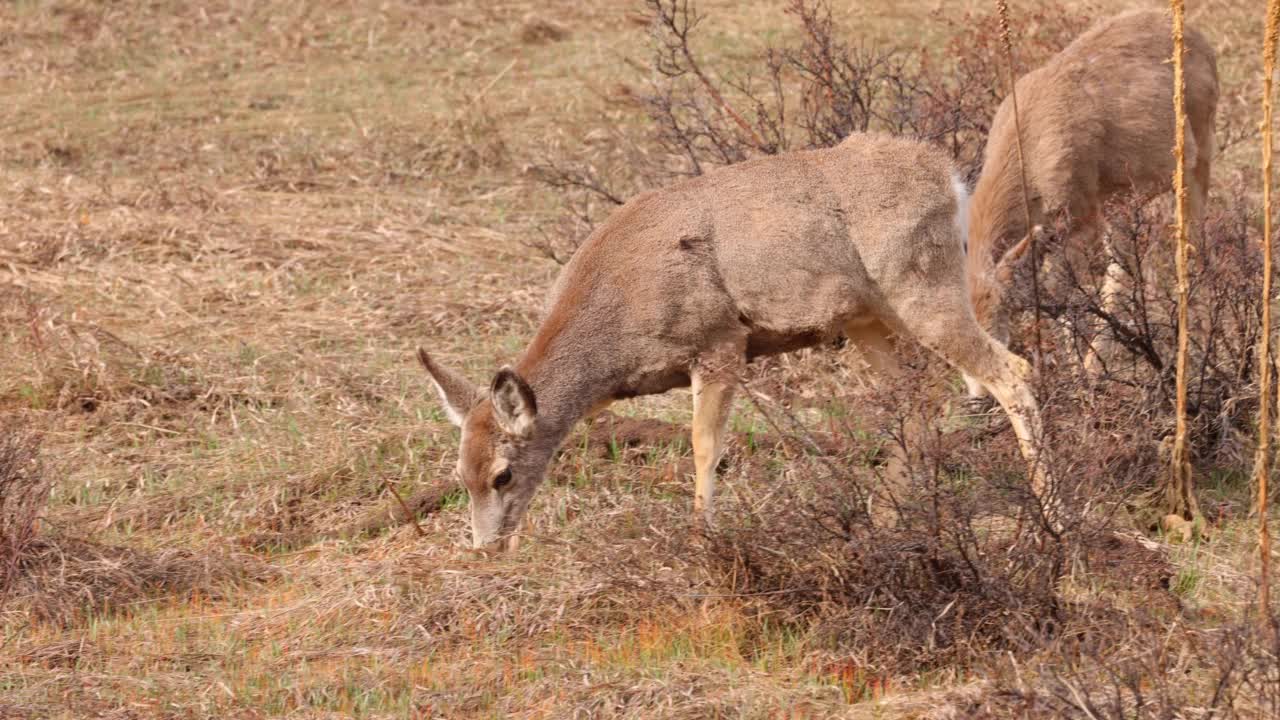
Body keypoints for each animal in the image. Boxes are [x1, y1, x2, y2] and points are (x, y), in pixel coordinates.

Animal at [422, 131, 1059, 545]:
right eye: (461, 477)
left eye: (503, 474)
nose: (487, 548)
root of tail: (949, 178)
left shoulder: (719, 341)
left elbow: (705, 446)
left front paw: (703, 537)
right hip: (867, 318)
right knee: (916, 401)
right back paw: (890, 520)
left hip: (920, 286)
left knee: (1012, 371)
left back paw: (1050, 518)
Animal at [962, 7, 1218, 397]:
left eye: (998, 316)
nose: (978, 393)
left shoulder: (1079, 218)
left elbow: (1063, 290)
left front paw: (1076, 376)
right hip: (1120, 199)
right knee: (1127, 261)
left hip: (1198, 151)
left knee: (1192, 238)